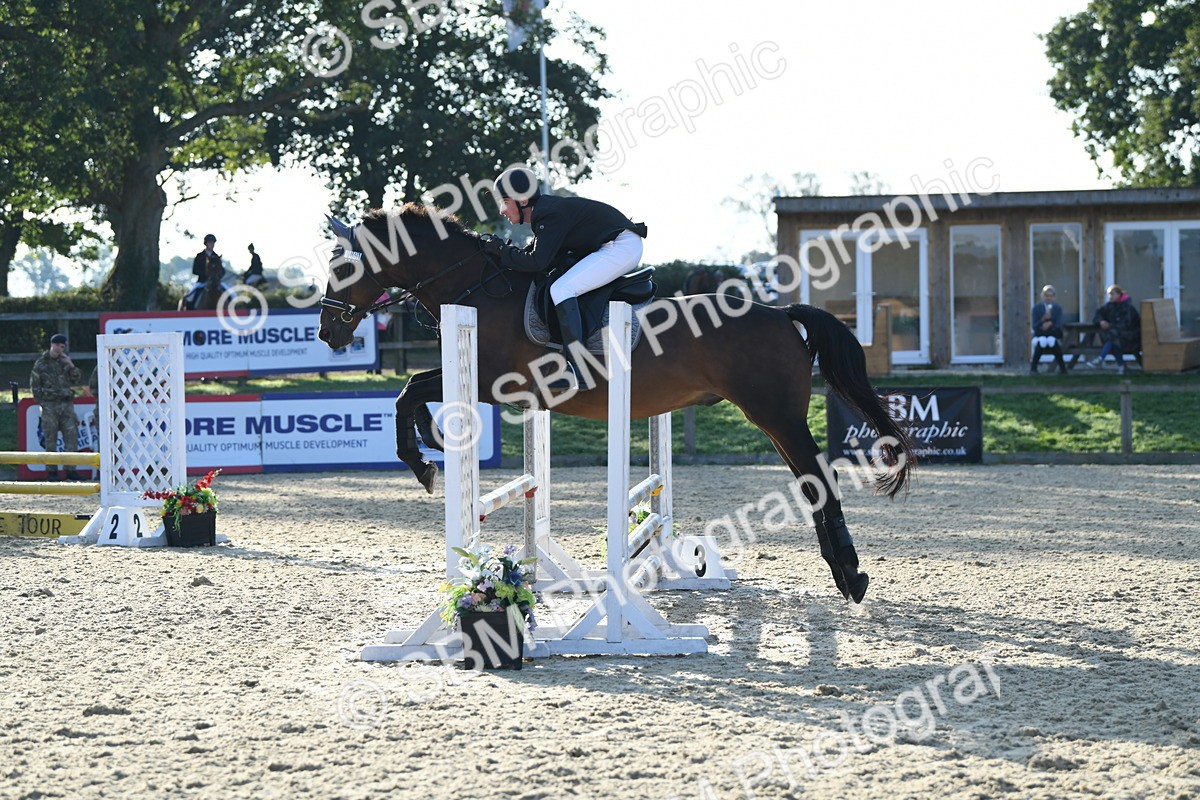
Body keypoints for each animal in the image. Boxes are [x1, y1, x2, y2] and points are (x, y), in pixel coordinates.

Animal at [317, 204, 916, 603]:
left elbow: (412, 388)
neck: (477, 287)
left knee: (817, 478)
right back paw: (845, 572)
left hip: (776, 416)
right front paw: (429, 444)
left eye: (342, 266)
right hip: (775, 417)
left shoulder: (497, 383)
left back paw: (850, 575)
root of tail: (780, 314)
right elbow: (413, 388)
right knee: (811, 481)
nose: (326, 331)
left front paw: (422, 460)